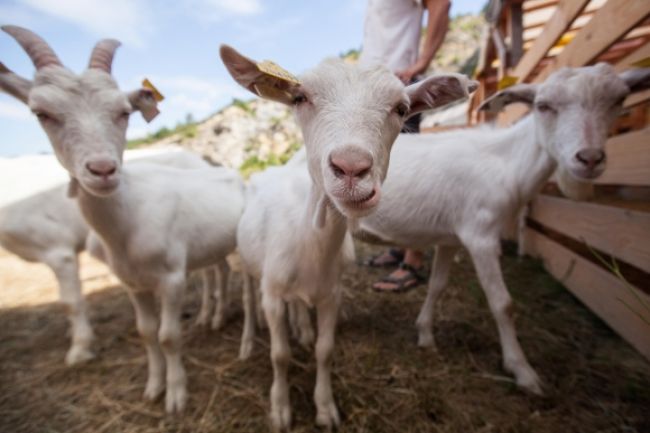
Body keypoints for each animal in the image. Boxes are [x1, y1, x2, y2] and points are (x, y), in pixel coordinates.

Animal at [0, 27, 246, 412]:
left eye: (124, 112)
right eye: (41, 113)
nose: (102, 170)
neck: (130, 218)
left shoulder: (171, 279)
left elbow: (168, 336)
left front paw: (176, 396)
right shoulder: (134, 284)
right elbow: (147, 334)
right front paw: (154, 387)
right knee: (216, 271)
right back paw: (212, 317)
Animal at [220, 44, 474, 428]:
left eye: (401, 109)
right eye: (300, 97)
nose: (351, 168)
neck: (309, 243)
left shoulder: (331, 294)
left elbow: (325, 351)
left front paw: (325, 408)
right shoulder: (273, 293)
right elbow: (279, 355)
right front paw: (280, 409)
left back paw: (302, 329)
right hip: (250, 266)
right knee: (250, 301)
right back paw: (248, 343)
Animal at [354, 63, 648, 392]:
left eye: (619, 100)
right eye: (543, 106)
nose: (589, 159)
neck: (506, 164)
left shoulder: (451, 237)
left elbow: (437, 285)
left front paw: (426, 335)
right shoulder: (480, 235)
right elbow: (503, 303)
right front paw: (522, 370)